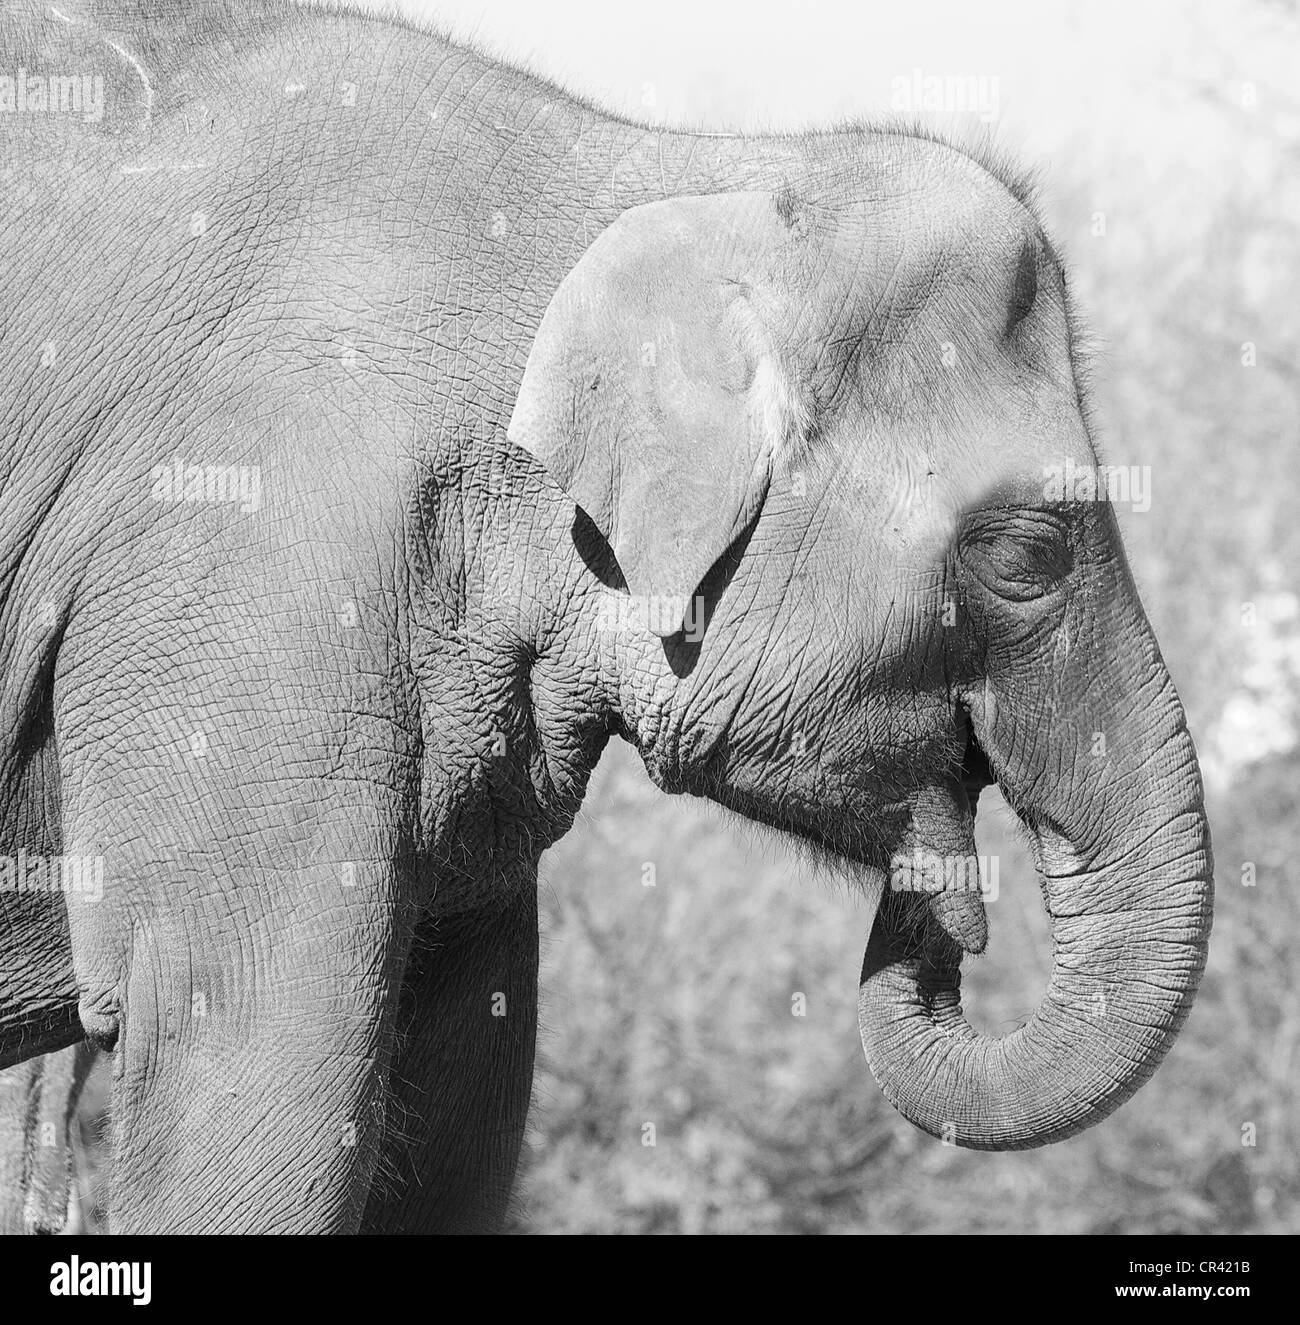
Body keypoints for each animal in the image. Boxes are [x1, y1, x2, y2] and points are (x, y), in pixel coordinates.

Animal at [0, 0, 1213, 1229]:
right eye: (1027, 555)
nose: (950, 922)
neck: (671, 174)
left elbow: (467, 1077)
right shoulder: (253, 560)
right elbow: (248, 1063)